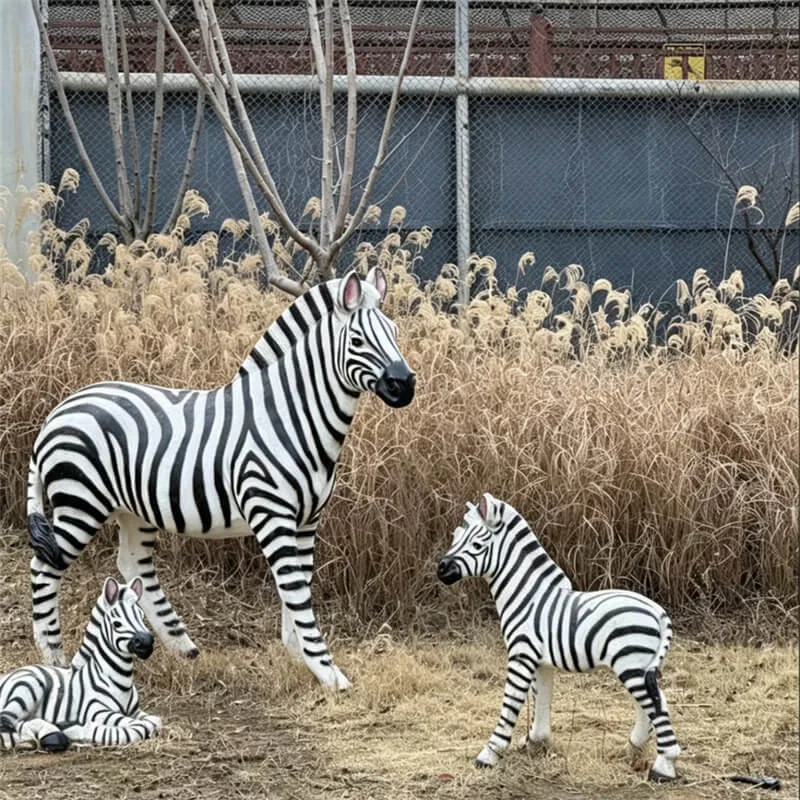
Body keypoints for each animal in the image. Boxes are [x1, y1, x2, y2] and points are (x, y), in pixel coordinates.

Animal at [0, 576, 161, 751]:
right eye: (117, 624)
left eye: (142, 617)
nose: (147, 642)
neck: (121, 680)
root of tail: (7, 675)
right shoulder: (97, 711)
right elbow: (140, 727)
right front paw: (83, 729)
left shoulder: (135, 711)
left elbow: (155, 721)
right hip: (28, 687)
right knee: (7, 723)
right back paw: (40, 738)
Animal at [27, 268, 415, 691]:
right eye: (358, 340)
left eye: (395, 332)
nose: (405, 385)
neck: (291, 417)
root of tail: (59, 410)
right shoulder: (272, 514)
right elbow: (295, 588)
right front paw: (328, 671)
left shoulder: (307, 520)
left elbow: (298, 585)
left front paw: (299, 652)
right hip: (80, 503)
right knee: (44, 568)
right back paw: (54, 657)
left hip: (133, 509)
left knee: (131, 564)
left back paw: (181, 644)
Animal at [437, 493, 680, 782]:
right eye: (455, 536)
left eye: (476, 544)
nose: (441, 569)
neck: (528, 595)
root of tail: (658, 612)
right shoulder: (541, 662)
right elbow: (540, 700)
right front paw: (534, 741)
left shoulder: (521, 655)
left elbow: (511, 703)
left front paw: (489, 754)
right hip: (639, 666)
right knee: (652, 701)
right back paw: (635, 747)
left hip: (631, 663)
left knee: (657, 704)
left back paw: (663, 766)